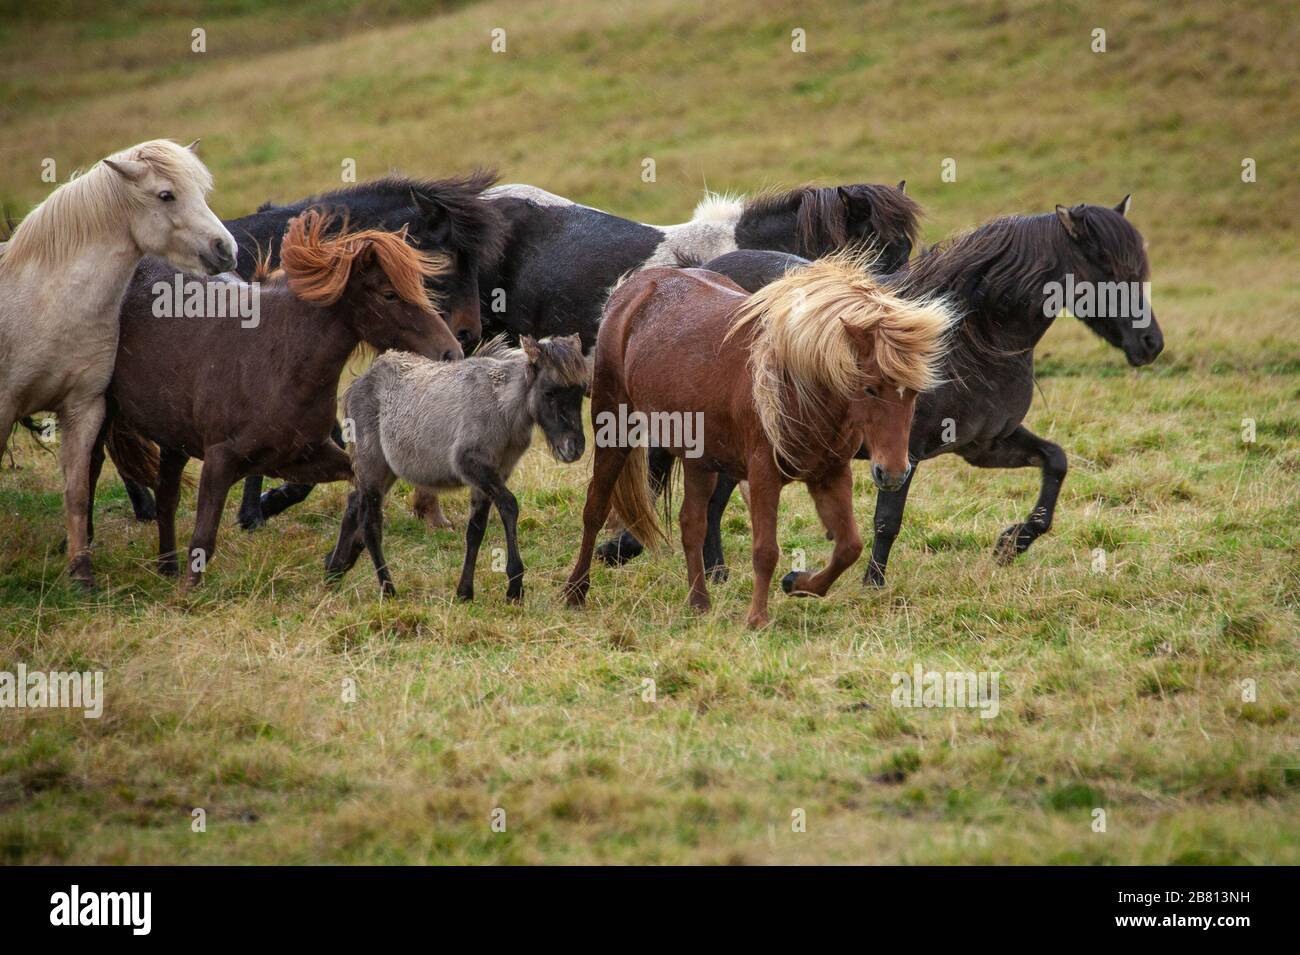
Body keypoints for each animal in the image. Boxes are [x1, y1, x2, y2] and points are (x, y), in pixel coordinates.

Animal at [1, 140, 233, 589]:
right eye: (166, 195)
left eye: (202, 192)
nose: (225, 249)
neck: (44, 303)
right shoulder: (4, 408)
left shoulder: (84, 408)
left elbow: (77, 491)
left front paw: (82, 575)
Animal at [97, 213, 462, 589]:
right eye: (389, 294)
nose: (451, 352)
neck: (277, 359)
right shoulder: (220, 461)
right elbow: (203, 538)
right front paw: (188, 594)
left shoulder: (300, 457)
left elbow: (356, 491)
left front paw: (340, 560)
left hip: (174, 440)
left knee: (167, 496)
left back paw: (166, 568)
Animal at [561, 255, 956, 628]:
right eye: (871, 388)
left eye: (915, 393)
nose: (894, 473)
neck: (798, 385)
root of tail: (633, 288)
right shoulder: (764, 473)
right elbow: (766, 550)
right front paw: (758, 619)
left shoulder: (830, 474)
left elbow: (849, 547)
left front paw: (798, 583)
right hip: (614, 429)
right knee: (595, 508)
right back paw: (575, 591)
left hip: (699, 457)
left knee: (692, 524)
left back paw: (699, 603)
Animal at [600, 197, 1170, 579]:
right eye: (1108, 270)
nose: (1151, 344)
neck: (971, 336)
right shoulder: (906, 450)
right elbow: (887, 520)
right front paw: (872, 585)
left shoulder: (984, 445)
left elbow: (1055, 462)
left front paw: (1013, 543)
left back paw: (714, 573)